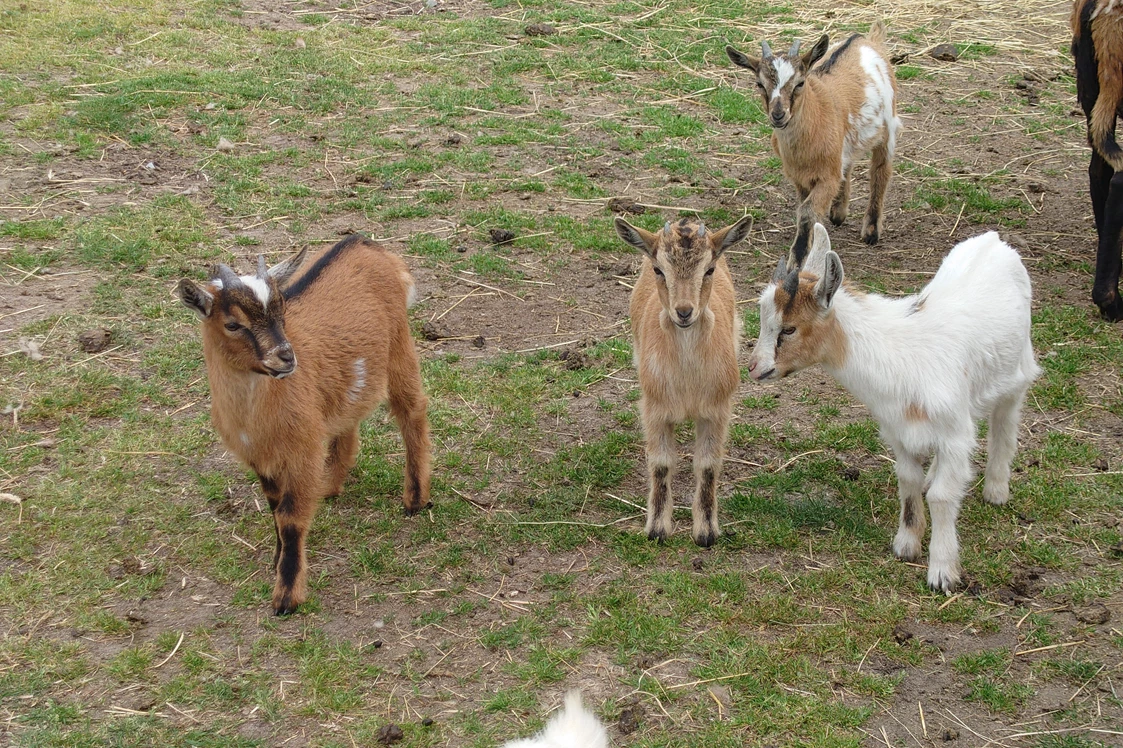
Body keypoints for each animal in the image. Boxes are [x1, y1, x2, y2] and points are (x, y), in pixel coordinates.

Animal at [177, 233, 431, 610]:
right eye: (233, 324)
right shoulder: (260, 458)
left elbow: (290, 516)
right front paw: (276, 558)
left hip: (400, 345)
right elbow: (274, 507)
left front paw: (286, 596)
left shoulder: (302, 450)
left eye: (282, 311)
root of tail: (365, 243)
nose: (286, 357)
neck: (253, 418)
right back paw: (328, 486)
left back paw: (414, 500)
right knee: (347, 421)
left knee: (412, 411)